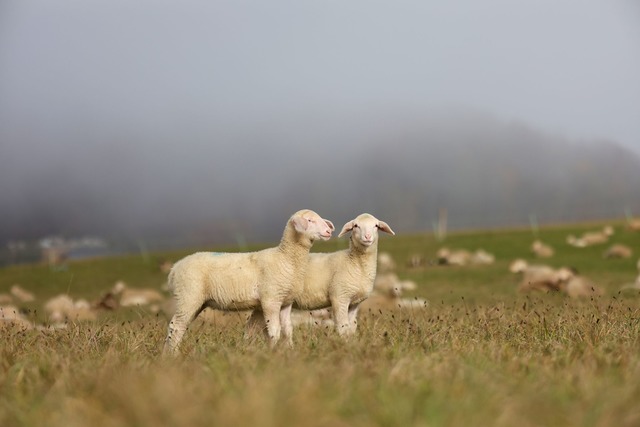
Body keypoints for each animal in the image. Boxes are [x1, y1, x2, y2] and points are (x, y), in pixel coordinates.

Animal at [164, 209, 336, 356]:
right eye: (309, 220)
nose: (329, 232)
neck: (285, 258)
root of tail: (174, 268)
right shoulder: (271, 300)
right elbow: (274, 331)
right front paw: (273, 352)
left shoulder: (286, 302)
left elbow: (287, 330)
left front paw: (289, 350)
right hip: (188, 296)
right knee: (176, 326)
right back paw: (173, 354)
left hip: (196, 301)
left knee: (179, 326)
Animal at [245, 212, 396, 340]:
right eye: (356, 226)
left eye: (376, 226)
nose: (368, 237)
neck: (354, 263)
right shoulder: (340, 297)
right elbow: (343, 327)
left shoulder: (354, 303)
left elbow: (351, 327)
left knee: (251, 327)